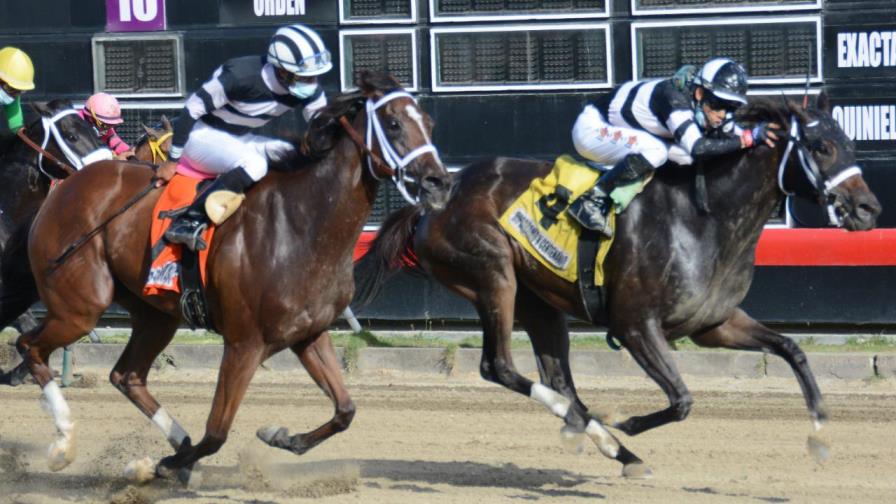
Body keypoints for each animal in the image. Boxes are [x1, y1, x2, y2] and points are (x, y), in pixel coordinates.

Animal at [5, 71, 449, 482]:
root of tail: (62, 189)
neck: (302, 224)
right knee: (31, 347)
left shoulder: (309, 333)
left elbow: (345, 410)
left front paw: (279, 436)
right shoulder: (243, 343)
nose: (438, 181)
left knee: (126, 376)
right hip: (81, 306)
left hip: (155, 313)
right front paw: (165, 465)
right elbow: (217, 432)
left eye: (429, 122)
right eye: (393, 123)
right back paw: (64, 443)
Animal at [357, 94, 881, 477]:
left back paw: (613, 448)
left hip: (539, 303)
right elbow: (683, 399)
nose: (868, 209)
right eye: (821, 147)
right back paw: (600, 432)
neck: (704, 219)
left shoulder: (714, 324)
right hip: (493, 275)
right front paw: (627, 421)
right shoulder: (634, 326)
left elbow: (792, 349)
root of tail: (430, 204)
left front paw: (820, 430)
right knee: (499, 366)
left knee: (560, 380)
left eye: (851, 144)